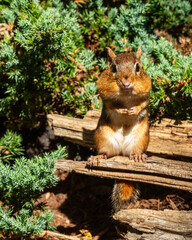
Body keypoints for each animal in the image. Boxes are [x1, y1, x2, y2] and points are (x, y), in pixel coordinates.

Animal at [90, 46, 152, 213]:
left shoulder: (147, 93)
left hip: (141, 139)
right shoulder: (104, 94)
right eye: (113, 68)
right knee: (107, 153)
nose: (126, 81)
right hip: (103, 137)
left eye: (137, 67)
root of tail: (123, 152)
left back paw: (138, 156)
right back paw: (98, 157)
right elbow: (112, 105)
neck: (126, 94)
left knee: (135, 151)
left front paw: (132, 110)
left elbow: (142, 104)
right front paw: (122, 110)